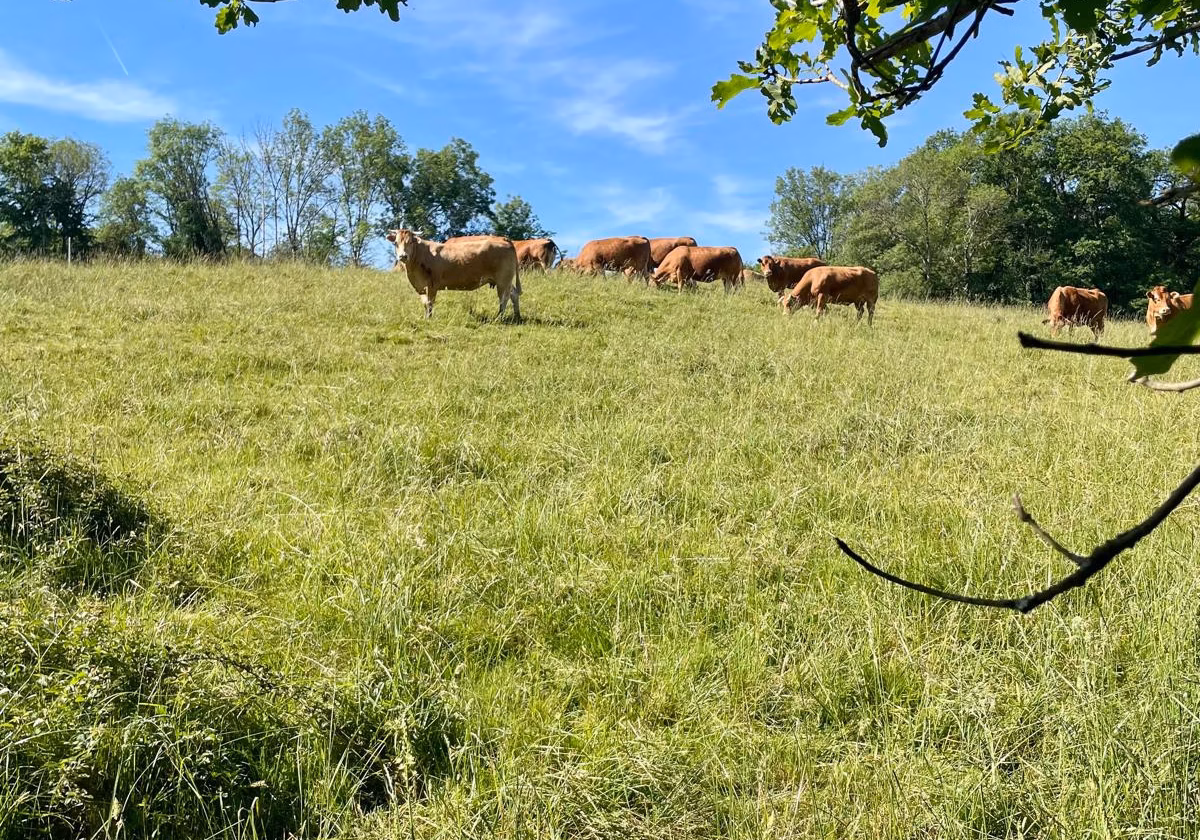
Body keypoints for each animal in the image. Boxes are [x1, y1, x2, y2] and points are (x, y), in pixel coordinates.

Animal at [385, 229, 521, 320]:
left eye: (410, 242)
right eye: (396, 243)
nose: (403, 256)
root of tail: (503, 239)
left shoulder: (432, 285)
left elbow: (429, 303)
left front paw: (429, 319)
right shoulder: (421, 287)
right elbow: (425, 303)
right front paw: (425, 318)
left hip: (503, 280)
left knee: (504, 298)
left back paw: (499, 317)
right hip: (505, 280)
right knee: (513, 294)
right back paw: (517, 316)